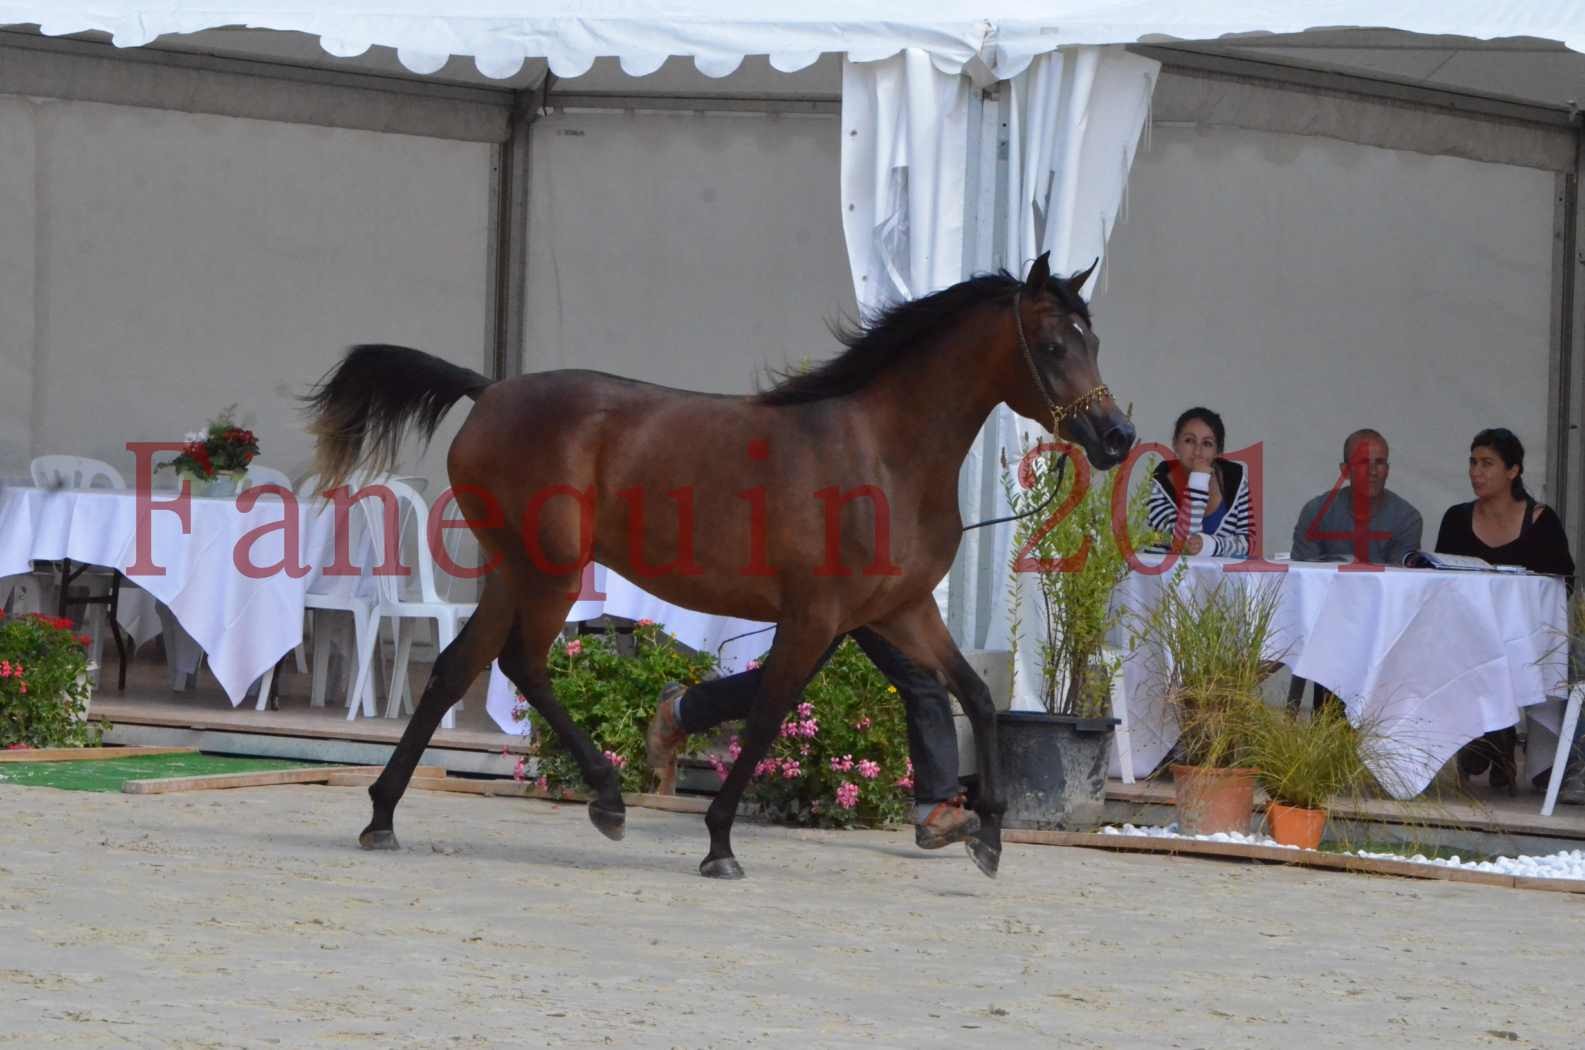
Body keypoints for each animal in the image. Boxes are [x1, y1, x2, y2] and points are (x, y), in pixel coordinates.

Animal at [302, 253, 1134, 881]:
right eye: (1052, 346)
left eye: (1094, 341)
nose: (1116, 436)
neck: (884, 454)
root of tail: (489, 389)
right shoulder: (817, 617)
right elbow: (767, 712)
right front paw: (720, 844)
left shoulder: (901, 610)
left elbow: (974, 697)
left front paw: (985, 836)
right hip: (551, 571)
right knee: (522, 664)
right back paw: (606, 799)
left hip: (513, 570)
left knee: (454, 668)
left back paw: (382, 816)